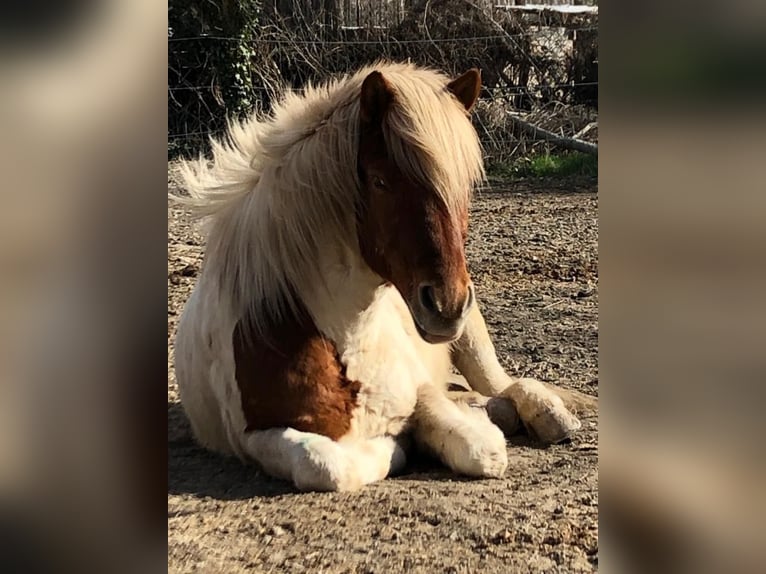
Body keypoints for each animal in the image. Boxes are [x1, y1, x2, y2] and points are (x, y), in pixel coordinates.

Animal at [174, 63, 592, 496]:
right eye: (379, 181)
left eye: (463, 186)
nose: (447, 305)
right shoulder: (254, 437)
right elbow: (325, 464)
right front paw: (398, 444)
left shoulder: (422, 389)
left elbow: (480, 448)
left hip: (471, 339)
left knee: (503, 383)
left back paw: (547, 414)